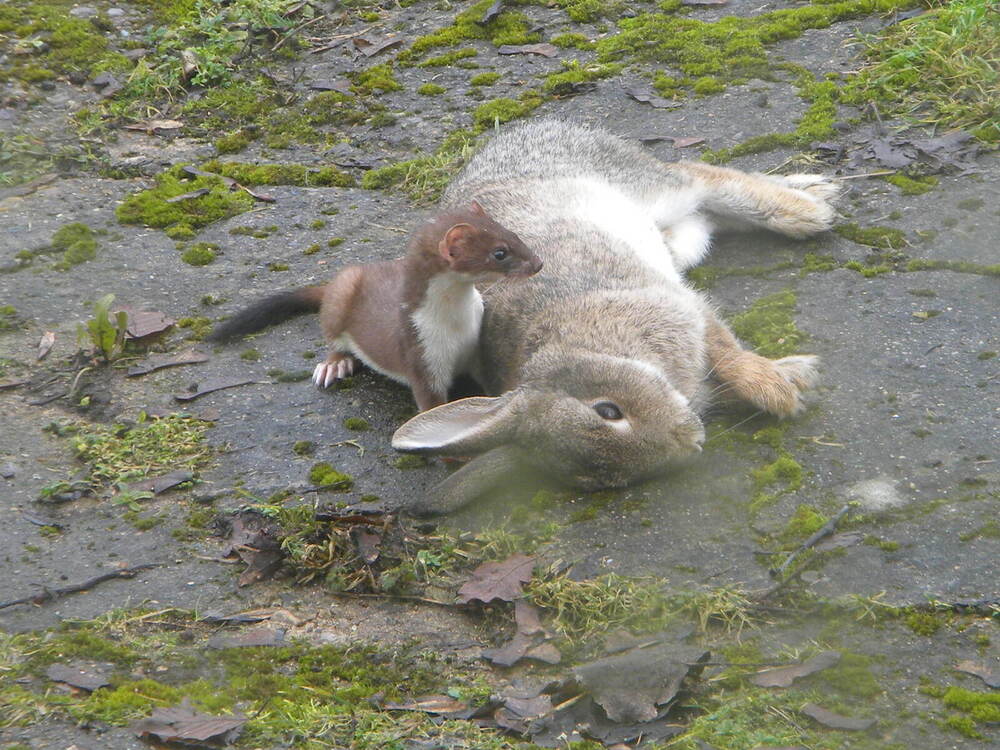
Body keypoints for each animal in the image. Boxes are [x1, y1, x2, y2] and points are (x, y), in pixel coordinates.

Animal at [390, 118, 840, 514]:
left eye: (607, 410)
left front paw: (778, 389)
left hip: (638, 187)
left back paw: (807, 209)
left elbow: (727, 352)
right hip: (677, 234)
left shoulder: (675, 304)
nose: (691, 441)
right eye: (605, 480)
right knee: (704, 215)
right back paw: (809, 188)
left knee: (699, 177)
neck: (590, 347)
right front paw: (797, 378)